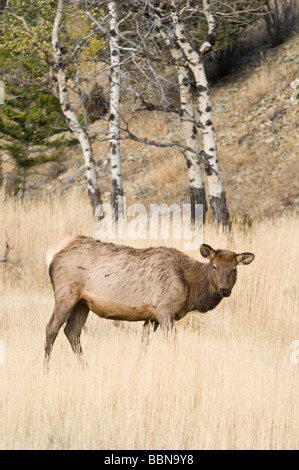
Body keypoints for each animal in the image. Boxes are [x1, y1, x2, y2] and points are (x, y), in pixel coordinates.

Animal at [45, 237, 255, 366]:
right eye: (214, 266)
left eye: (234, 269)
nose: (224, 290)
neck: (191, 292)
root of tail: (52, 255)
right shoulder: (164, 311)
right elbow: (173, 346)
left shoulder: (151, 316)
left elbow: (143, 346)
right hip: (66, 293)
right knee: (52, 328)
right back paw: (46, 369)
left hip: (83, 303)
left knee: (72, 331)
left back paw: (85, 367)